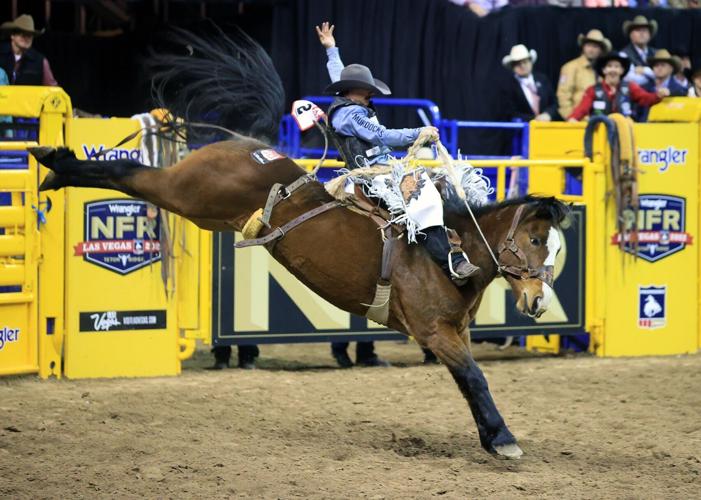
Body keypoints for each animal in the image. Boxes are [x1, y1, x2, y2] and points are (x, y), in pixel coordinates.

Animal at [30, 26, 572, 458]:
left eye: (557, 248)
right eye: (535, 238)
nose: (540, 300)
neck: (451, 250)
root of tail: (249, 145)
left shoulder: (455, 332)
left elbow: (469, 381)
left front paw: (492, 435)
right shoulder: (435, 332)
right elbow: (475, 378)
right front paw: (503, 439)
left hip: (199, 206)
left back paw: (55, 166)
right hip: (188, 193)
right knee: (130, 174)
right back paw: (56, 164)